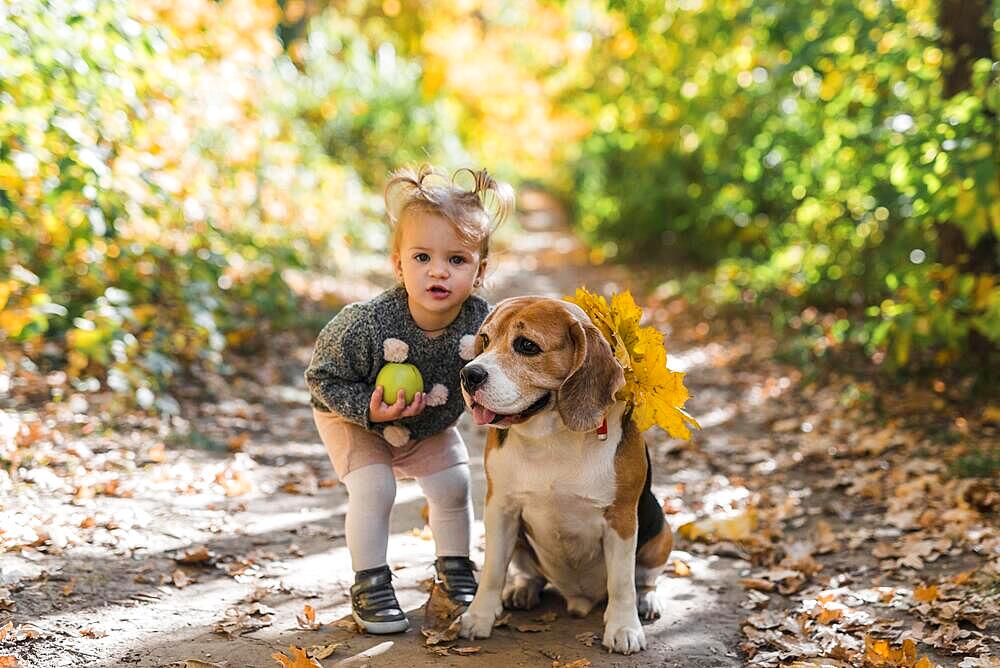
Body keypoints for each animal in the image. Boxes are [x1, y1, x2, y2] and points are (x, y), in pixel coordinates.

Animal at [458, 296, 672, 652]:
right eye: (485, 340)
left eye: (527, 345)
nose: (468, 374)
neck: (551, 437)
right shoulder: (499, 508)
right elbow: (491, 571)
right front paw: (479, 617)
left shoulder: (622, 519)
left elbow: (622, 582)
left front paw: (624, 627)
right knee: (530, 573)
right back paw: (522, 589)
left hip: (662, 532)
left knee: (644, 579)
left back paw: (648, 600)